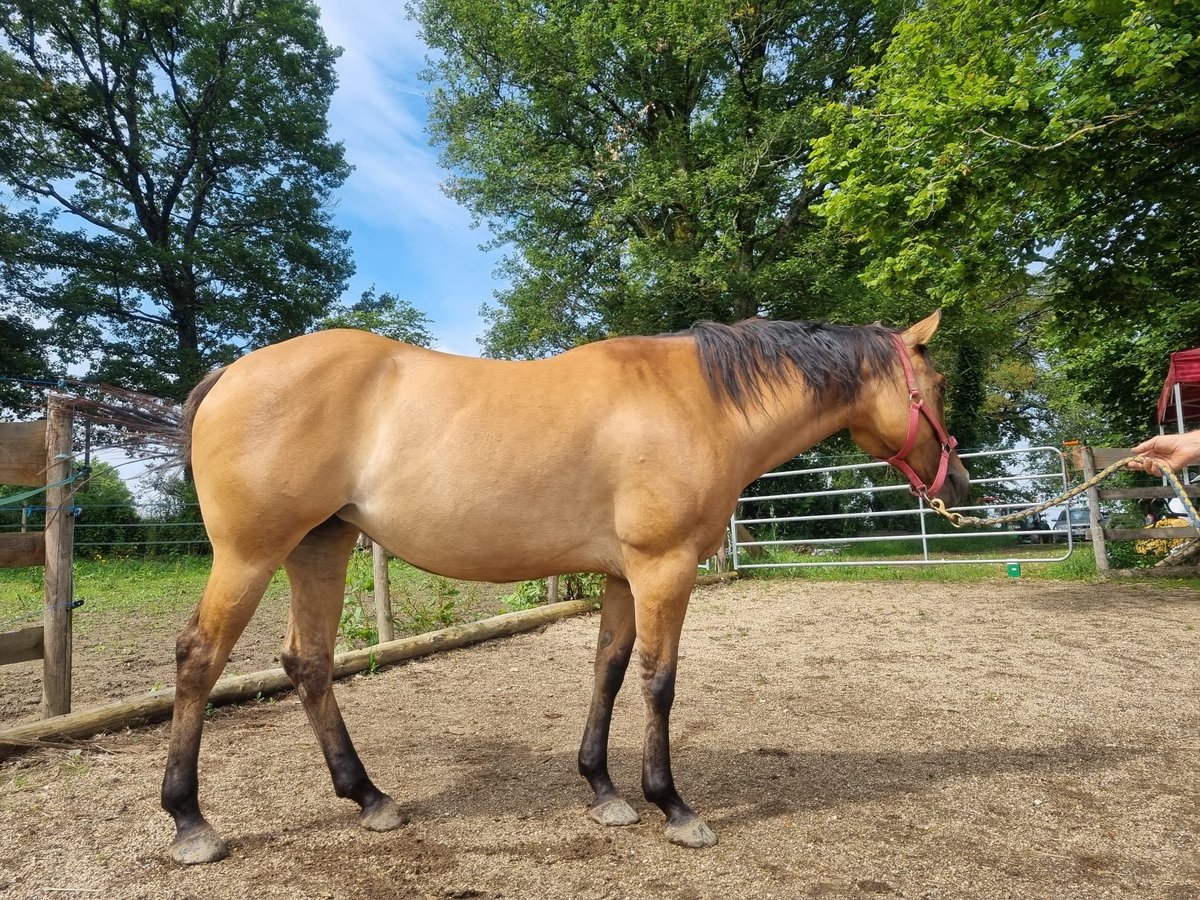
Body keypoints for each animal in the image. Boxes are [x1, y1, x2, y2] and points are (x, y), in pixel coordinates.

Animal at [159, 312, 969, 868]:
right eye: (936, 387)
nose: (957, 482)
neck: (698, 403)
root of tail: (231, 375)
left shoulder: (620, 577)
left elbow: (608, 671)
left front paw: (602, 790)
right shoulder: (662, 569)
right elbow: (658, 681)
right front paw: (672, 805)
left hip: (319, 548)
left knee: (310, 663)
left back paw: (369, 798)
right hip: (250, 555)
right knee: (199, 658)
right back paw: (191, 822)